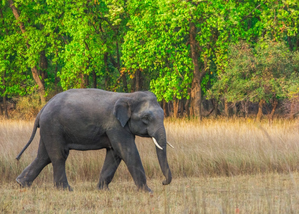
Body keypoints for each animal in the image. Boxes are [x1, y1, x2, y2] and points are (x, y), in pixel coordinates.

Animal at [15, 88, 173, 192]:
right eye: (146, 118)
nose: (163, 182)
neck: (128, 96)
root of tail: (42, 109)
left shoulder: (118, 128)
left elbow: (114, 154)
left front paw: (102, 190)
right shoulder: (115, 125)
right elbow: (127, 152)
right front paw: (148, 191)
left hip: (48, 129)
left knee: (43, 157)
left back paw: (21, 184)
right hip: (53, 127)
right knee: (59, 156)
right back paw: (66, 189)